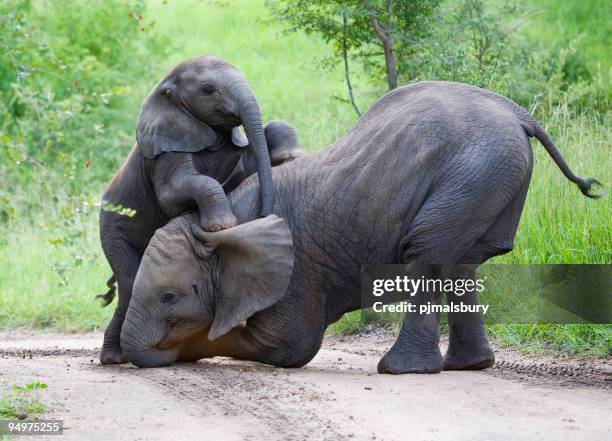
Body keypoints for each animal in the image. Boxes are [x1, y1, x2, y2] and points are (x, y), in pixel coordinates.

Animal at [97, 55, 304, 364]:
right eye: (208, 89)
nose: (266, 213)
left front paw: (291, 157)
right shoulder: (165, 149)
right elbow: (173, 195)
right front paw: (221, 226)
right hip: (112, 230)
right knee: (129, 283)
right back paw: (114, 358)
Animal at [116, 81, 596, 372]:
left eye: (170, 296)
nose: (147, 352)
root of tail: (517, 112)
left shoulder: (296, 273)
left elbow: (288, 345)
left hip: (474, 171)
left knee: (427, 255)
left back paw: (400, 370)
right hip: (491, 175)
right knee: (463, 263)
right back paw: (468, 366)